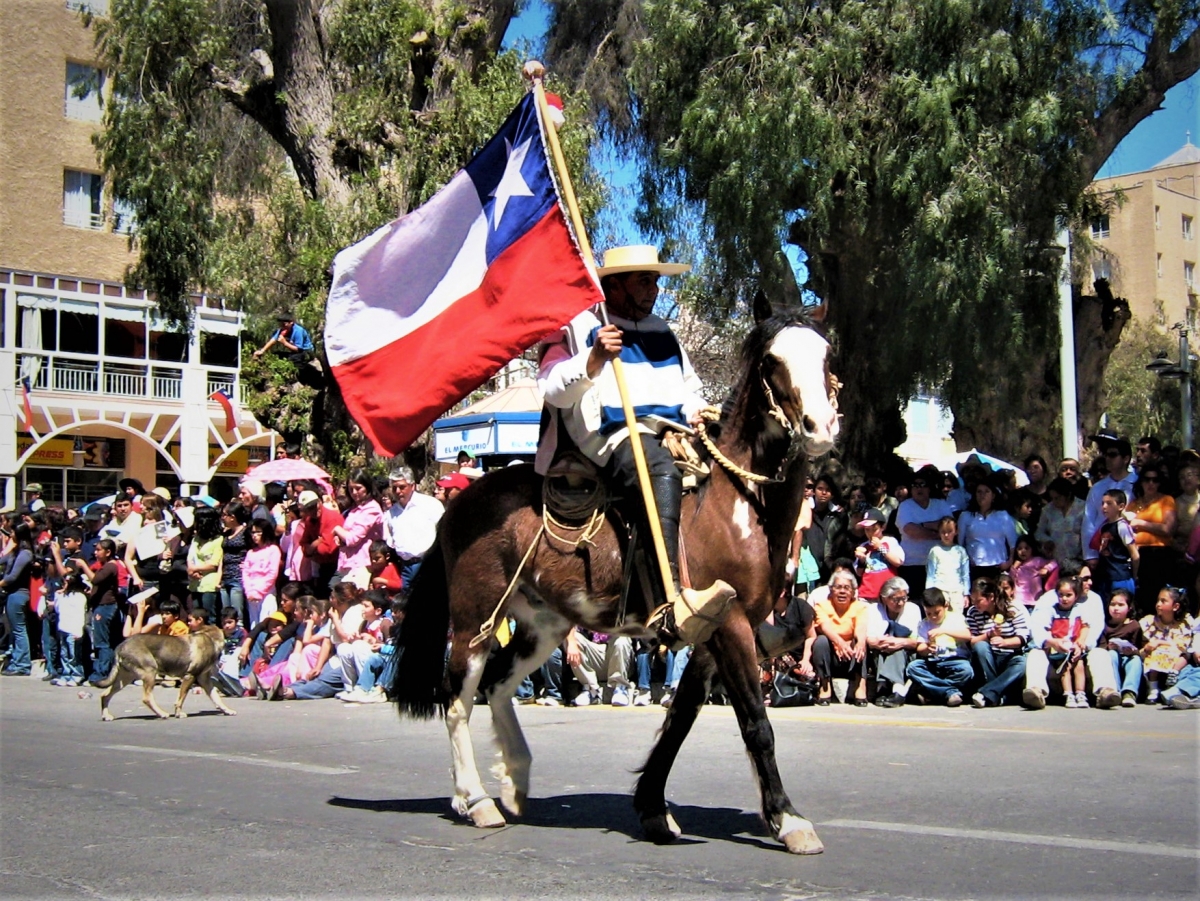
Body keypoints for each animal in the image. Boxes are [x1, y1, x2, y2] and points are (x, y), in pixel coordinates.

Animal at [97, 623, 237, 724]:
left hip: (125, 678)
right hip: (150, 672)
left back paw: (106, 716)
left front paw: (227, 710)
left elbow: (216, 698)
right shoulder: (190, 676)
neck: (210, 638)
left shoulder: (205, 680)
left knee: (105, 695)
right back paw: (162, 713)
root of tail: (120, 645)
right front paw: (179, 714)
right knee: (147, 698)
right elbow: (181, 699)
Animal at [388, 299, 840, 854]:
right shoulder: (731, 626)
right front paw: (788, 818)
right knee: (457, 700)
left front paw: (652, 808)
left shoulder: (712, 636)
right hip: (476, 619)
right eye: (773, 361)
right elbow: (756, 722)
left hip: (543, 625)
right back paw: (476, 801)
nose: (820, 426)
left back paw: (515, 780)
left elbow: (680, 718)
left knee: (496, 686)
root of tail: (458, 504)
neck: (736, 502)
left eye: (825, 355)